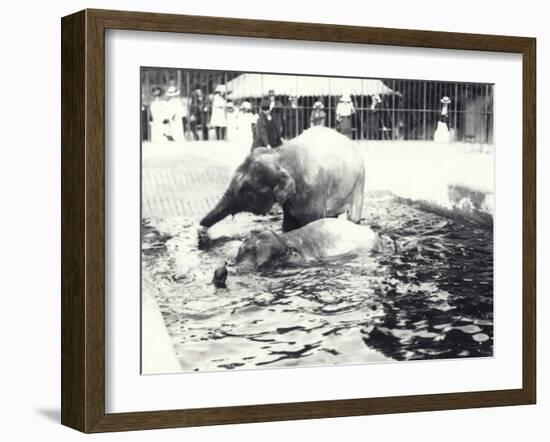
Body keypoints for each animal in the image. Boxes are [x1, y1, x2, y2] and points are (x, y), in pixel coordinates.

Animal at [199, 125, 366, 235]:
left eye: (249, 195)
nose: (201, 231)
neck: (280, 155)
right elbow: (288, 226)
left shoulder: (315, 191)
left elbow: (311, 223)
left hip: (359, 182)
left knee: (353, 216)